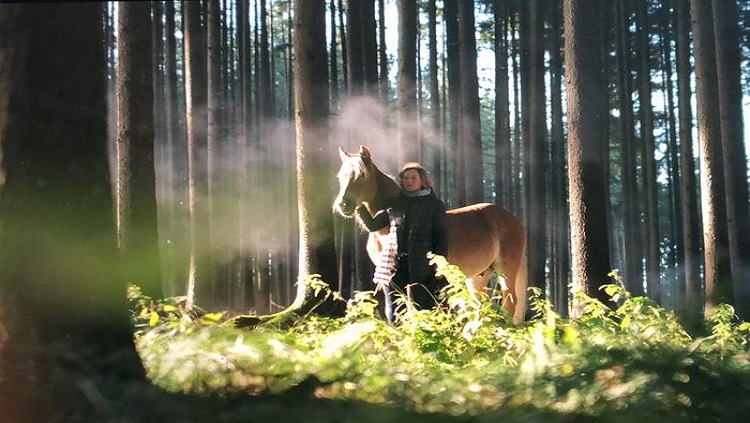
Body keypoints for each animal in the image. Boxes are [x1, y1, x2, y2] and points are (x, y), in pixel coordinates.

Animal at [334, 146, 528, 324]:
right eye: (340, 176)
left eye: (362, 175)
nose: (343, 204)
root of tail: (514, 220)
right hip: (478, 277)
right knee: (480, 307)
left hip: (506, 271)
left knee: (510, 303)